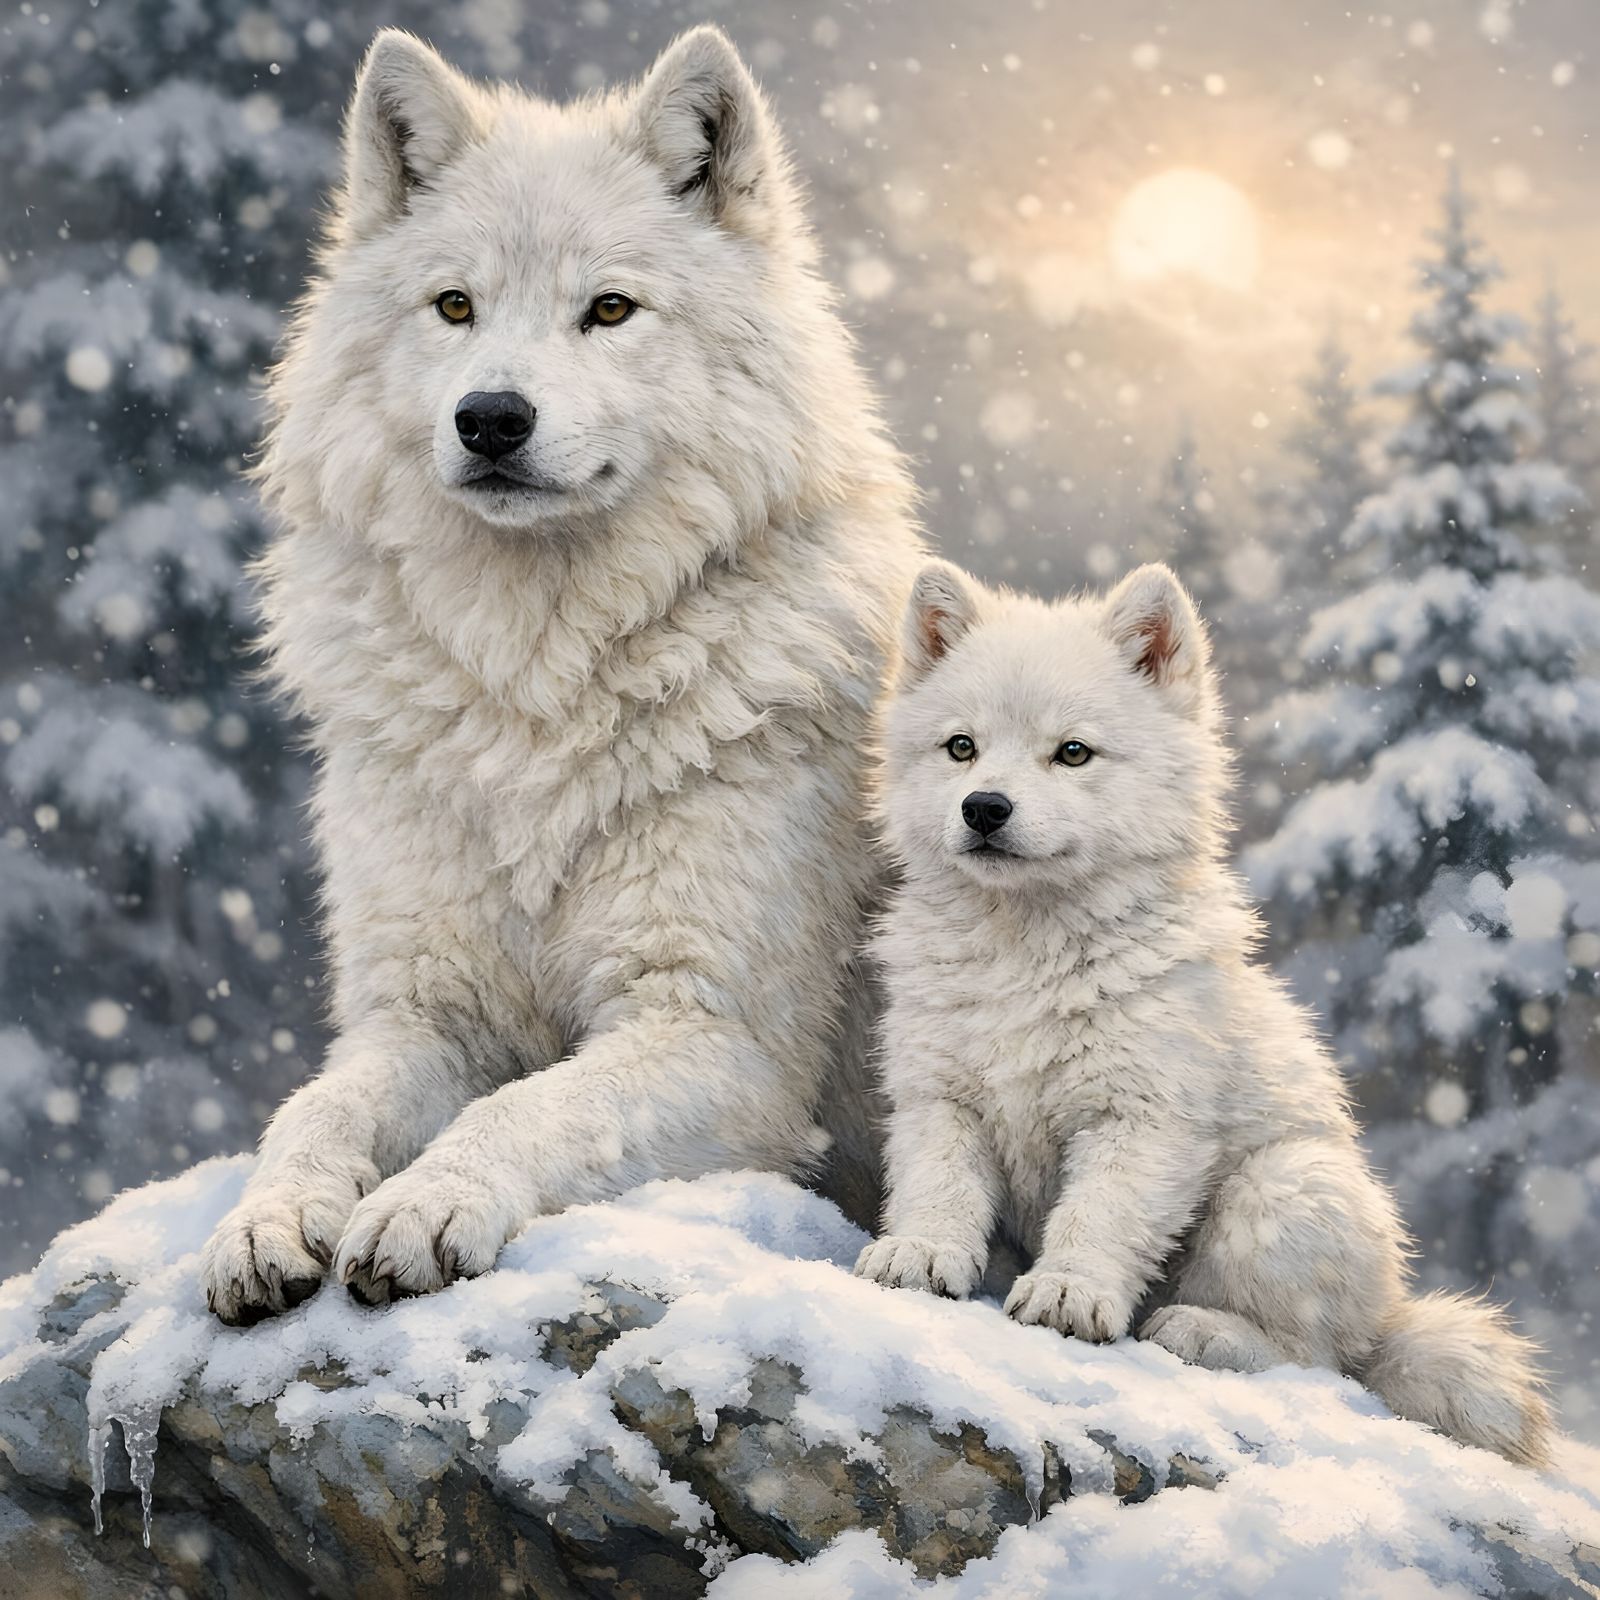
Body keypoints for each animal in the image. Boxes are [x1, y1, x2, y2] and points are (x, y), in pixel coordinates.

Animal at [199, 27, 920, 1323]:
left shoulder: (719, 1037)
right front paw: (264, 1222)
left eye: (609, 309)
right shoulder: (421, 1012)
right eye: (454, 306)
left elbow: (530, 1107)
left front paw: (424, 1206)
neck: (535, 688)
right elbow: (312, 1108)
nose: (491, 417)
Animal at [854, 559, 1552, 1466]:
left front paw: (1067, 1293)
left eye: (1072, 752)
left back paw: (1200, 1330)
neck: (1028, 960)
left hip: (1282, 1188)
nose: (985, 808)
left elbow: (1098, 1217)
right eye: (961, 747)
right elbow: (939, 1190)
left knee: (1318, 1359)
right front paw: (921, 1255)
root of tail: (1390, 1318)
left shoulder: (1141, 1121)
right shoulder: (942, 1103)